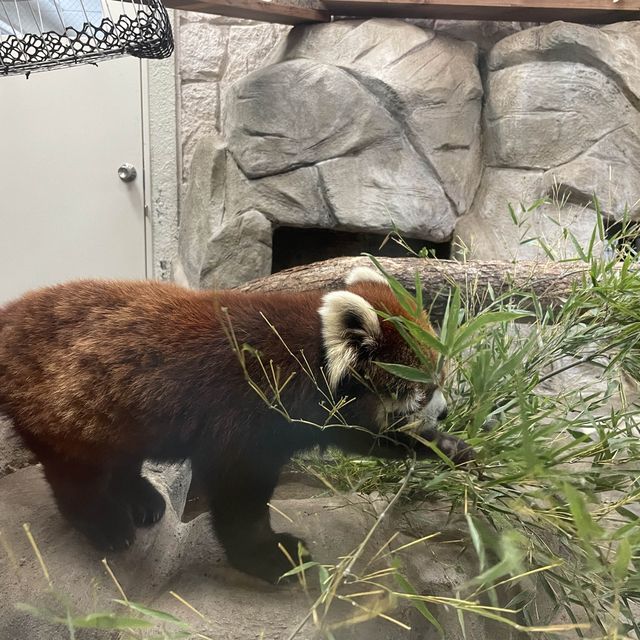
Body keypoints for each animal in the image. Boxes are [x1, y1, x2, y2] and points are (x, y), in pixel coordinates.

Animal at [0, 268, 470, 584]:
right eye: (426, 390)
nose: (446, 412)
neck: (305, 359)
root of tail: (10, 317)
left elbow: (364, 436)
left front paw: (446, 447)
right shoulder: (246, 418)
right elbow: (239, 499)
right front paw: (270, 558)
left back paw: (140, 497)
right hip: (63, 407)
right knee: (75, 473)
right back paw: (105, 524)